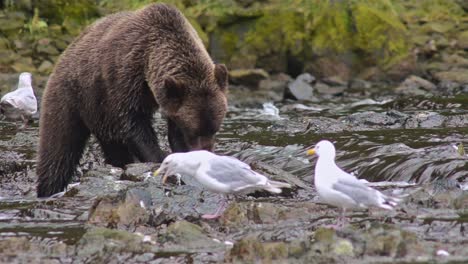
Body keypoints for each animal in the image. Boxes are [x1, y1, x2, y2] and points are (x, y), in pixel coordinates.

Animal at [36, 3, 229, 198]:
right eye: (194, 131)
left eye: (214, 129)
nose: (206, 152)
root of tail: (66, 52)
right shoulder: (124, 78)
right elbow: (132, 122)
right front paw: (158, 157)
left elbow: (173, 130)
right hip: (71, 96)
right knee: (58, 149)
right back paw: (48, 189)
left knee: (112, 146)